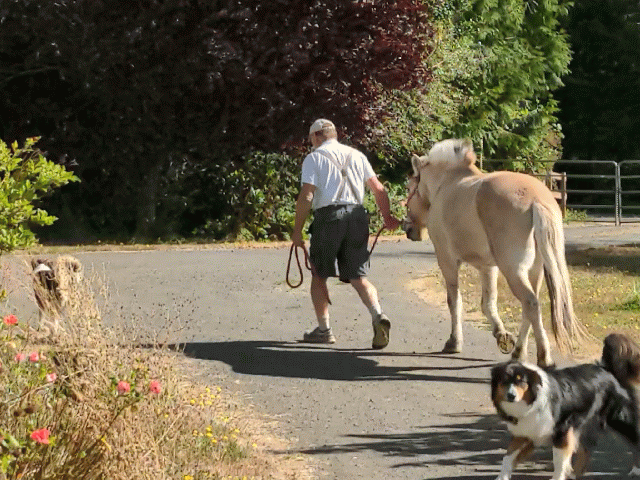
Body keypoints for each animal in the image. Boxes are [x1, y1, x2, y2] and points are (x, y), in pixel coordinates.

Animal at [404, 139, 584, 366]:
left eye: (409, 187)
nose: (407, 228)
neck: (445, 185)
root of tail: (535, 199)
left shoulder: (447, 260)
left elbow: (454, 301)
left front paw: (454, 343)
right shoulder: (487, 267)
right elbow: (488, 303)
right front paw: (502, 336)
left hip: (513, 271)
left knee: (531, 303)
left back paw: (543, 357)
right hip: (534, 271)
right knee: (530, 307)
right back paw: (518, 353)